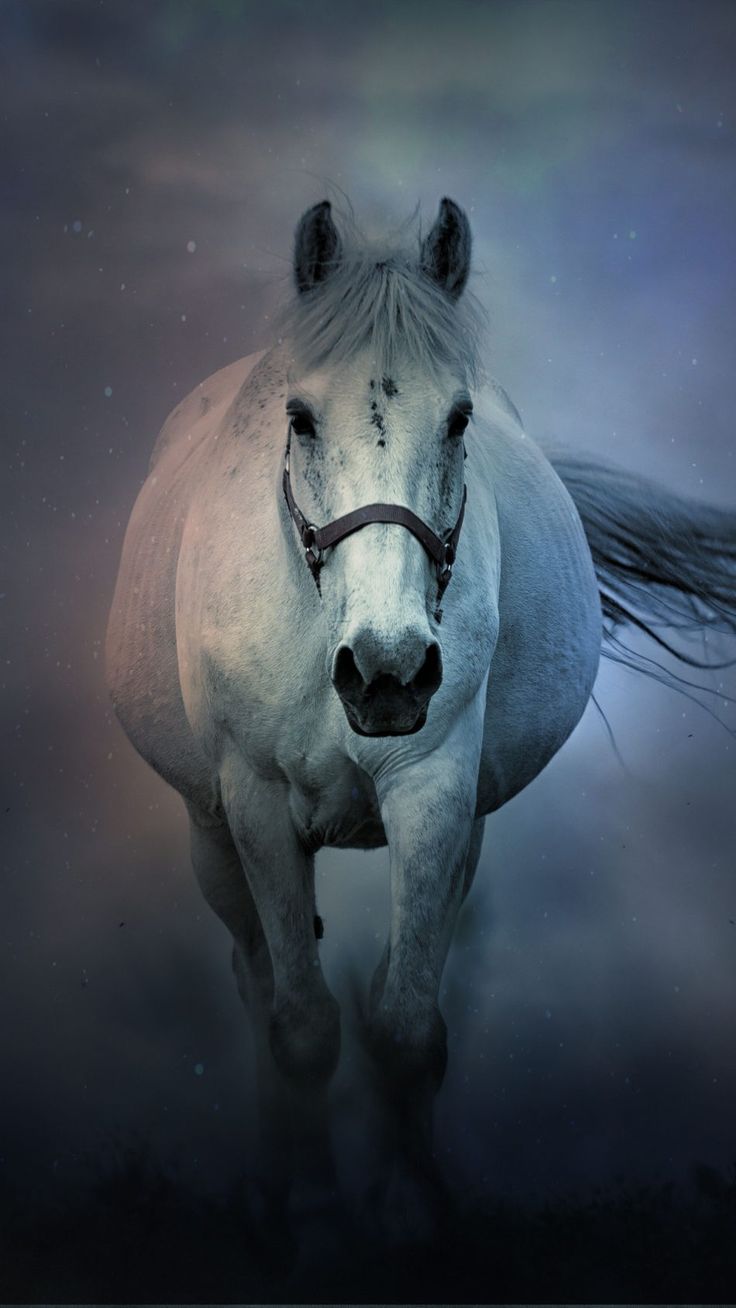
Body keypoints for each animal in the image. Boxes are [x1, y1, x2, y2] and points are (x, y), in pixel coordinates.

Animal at [106, 196, 736, 1232]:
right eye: (299, 417)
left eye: (459, 417)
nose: (388, 673)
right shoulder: (256, 806)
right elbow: (301, 1025)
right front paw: (317, 1219)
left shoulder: (437, 794)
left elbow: (405, 1029)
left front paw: (414, 1208)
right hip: (208, 832)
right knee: (253, 980)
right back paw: (272, 1183)